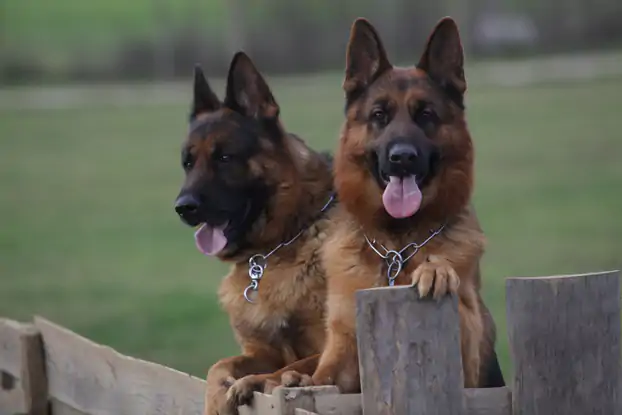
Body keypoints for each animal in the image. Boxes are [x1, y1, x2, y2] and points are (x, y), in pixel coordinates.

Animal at [173, 52, 338, 415]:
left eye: (224, 157)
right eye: (188, 163)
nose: (183, 207)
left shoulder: (330, 343)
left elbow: (298, 364)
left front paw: (265, 381)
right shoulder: (259, 352)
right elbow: (219, 366)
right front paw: (217, 400)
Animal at [278, 16, 508, 394]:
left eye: (426, 114)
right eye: (379, 115)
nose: (402, 158)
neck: (396, 248)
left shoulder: (469, 363)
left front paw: (435, 270)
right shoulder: (344, 351)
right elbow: (325, 375)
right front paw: (301, 379)